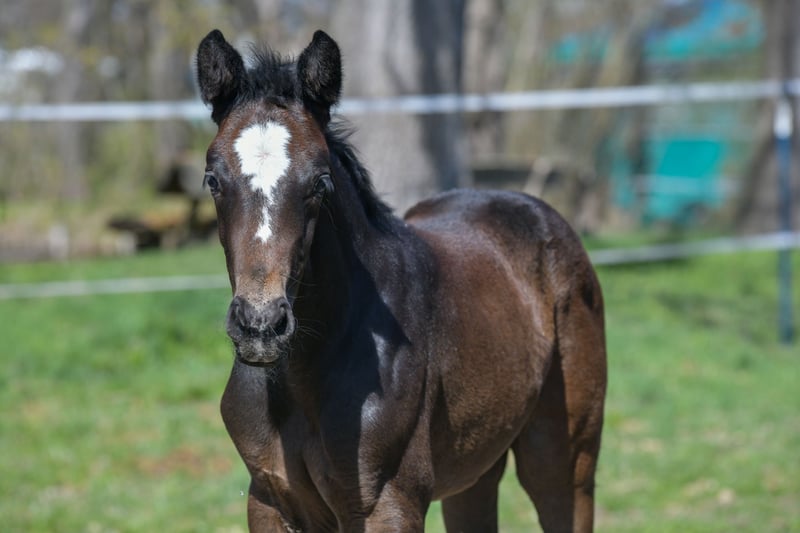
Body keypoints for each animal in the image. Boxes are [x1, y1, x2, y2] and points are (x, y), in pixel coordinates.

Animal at [196, 29, 607, 533]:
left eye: (320, 183)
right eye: (213, 179)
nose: (260, 325)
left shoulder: (388, 503)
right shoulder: (269, 499)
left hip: (564, 459)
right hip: (475, 468)